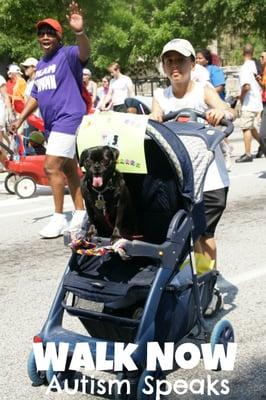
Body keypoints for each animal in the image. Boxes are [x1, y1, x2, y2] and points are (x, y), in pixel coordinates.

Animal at [27, 108, 235, 398]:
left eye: (105, 160)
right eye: (89, 161)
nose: (97, 168)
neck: (102, 189)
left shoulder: (122, 206)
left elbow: (116, 226)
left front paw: (115, 238)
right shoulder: (91, 206)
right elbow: (91, 221)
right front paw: (87, 234)